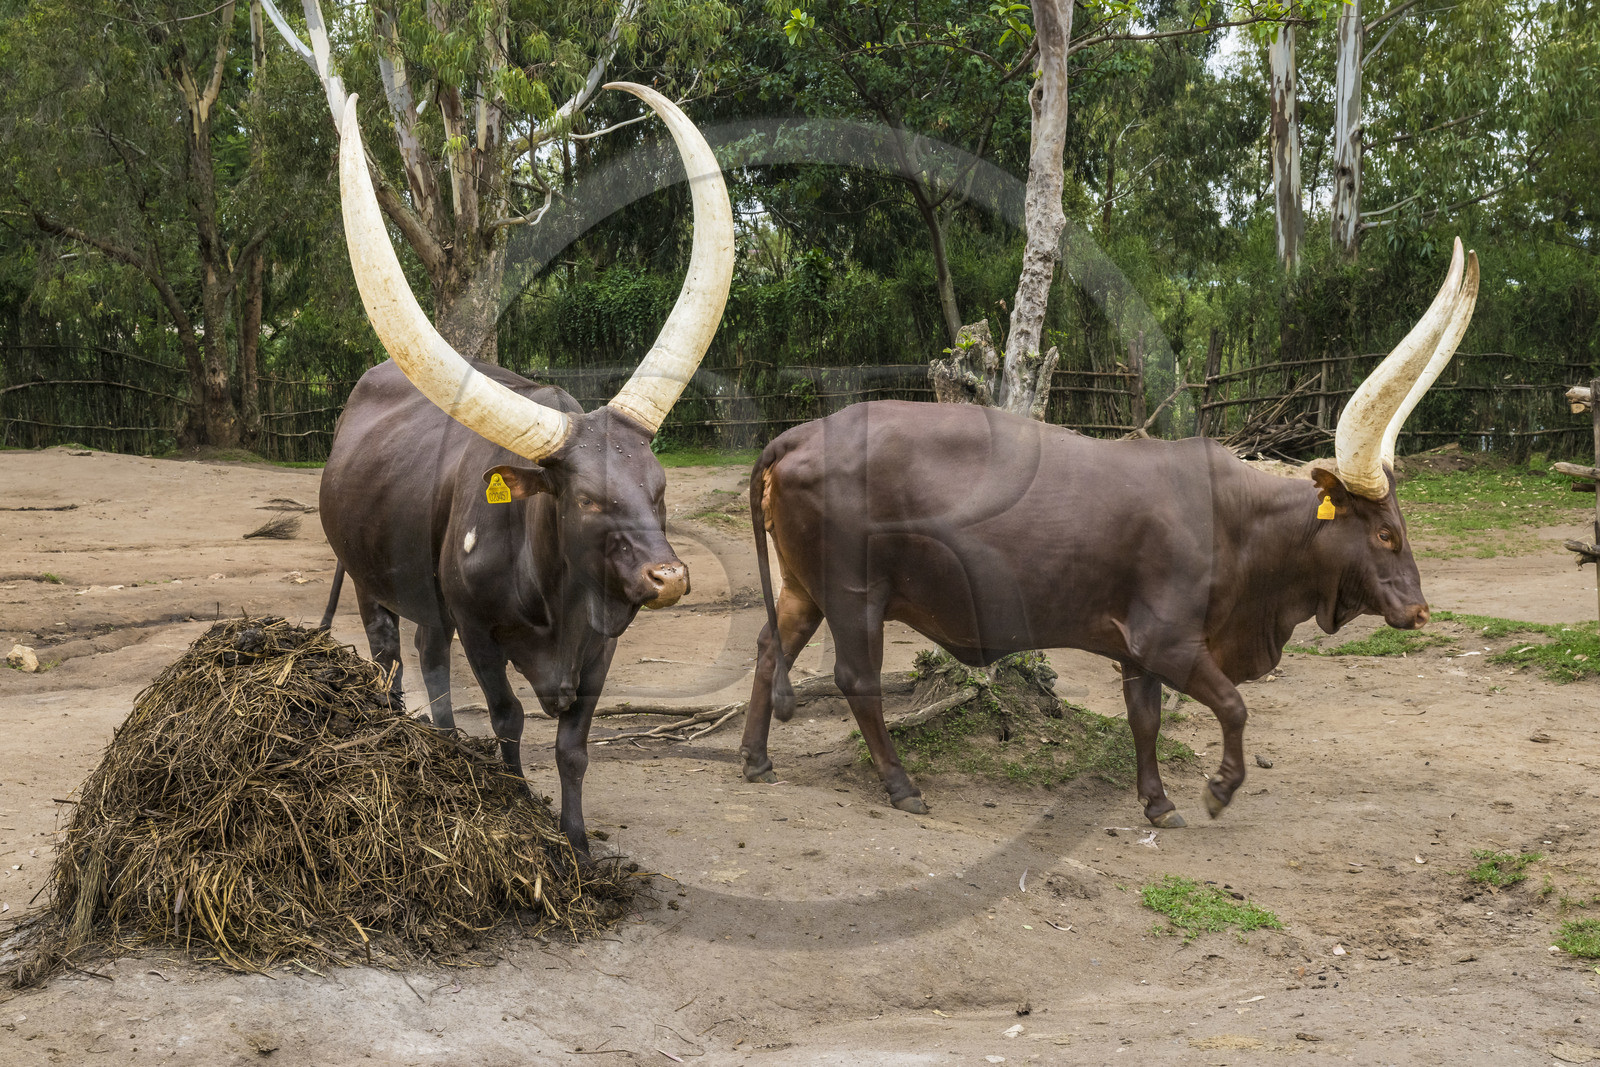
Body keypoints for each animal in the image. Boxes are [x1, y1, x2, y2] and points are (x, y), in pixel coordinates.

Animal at [318, 84, 734, 855]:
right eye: (589, 499)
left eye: (659, 490)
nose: (668, 577)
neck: (552, 589)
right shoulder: (483, 634)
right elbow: (509, 720)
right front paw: (516, 810)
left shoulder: (600, 645)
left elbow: (573, 745)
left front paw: (577, 843)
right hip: (366, 581)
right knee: (390, 658)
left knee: (427, 653)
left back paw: (445, 743)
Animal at [741, 241, 1479, 828]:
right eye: (1384, 535)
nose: (1419, 610)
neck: (1238, 519)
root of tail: (801, 433)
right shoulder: (1168, 639)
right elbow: (1235, 705)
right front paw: (1218, 788)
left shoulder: (1137, 649)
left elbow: (1144, 718)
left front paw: (1157, 800)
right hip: (855, 594)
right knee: (856, 680)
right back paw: (900, 785)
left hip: (805, 588)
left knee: (769, 650)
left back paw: (754, 758)